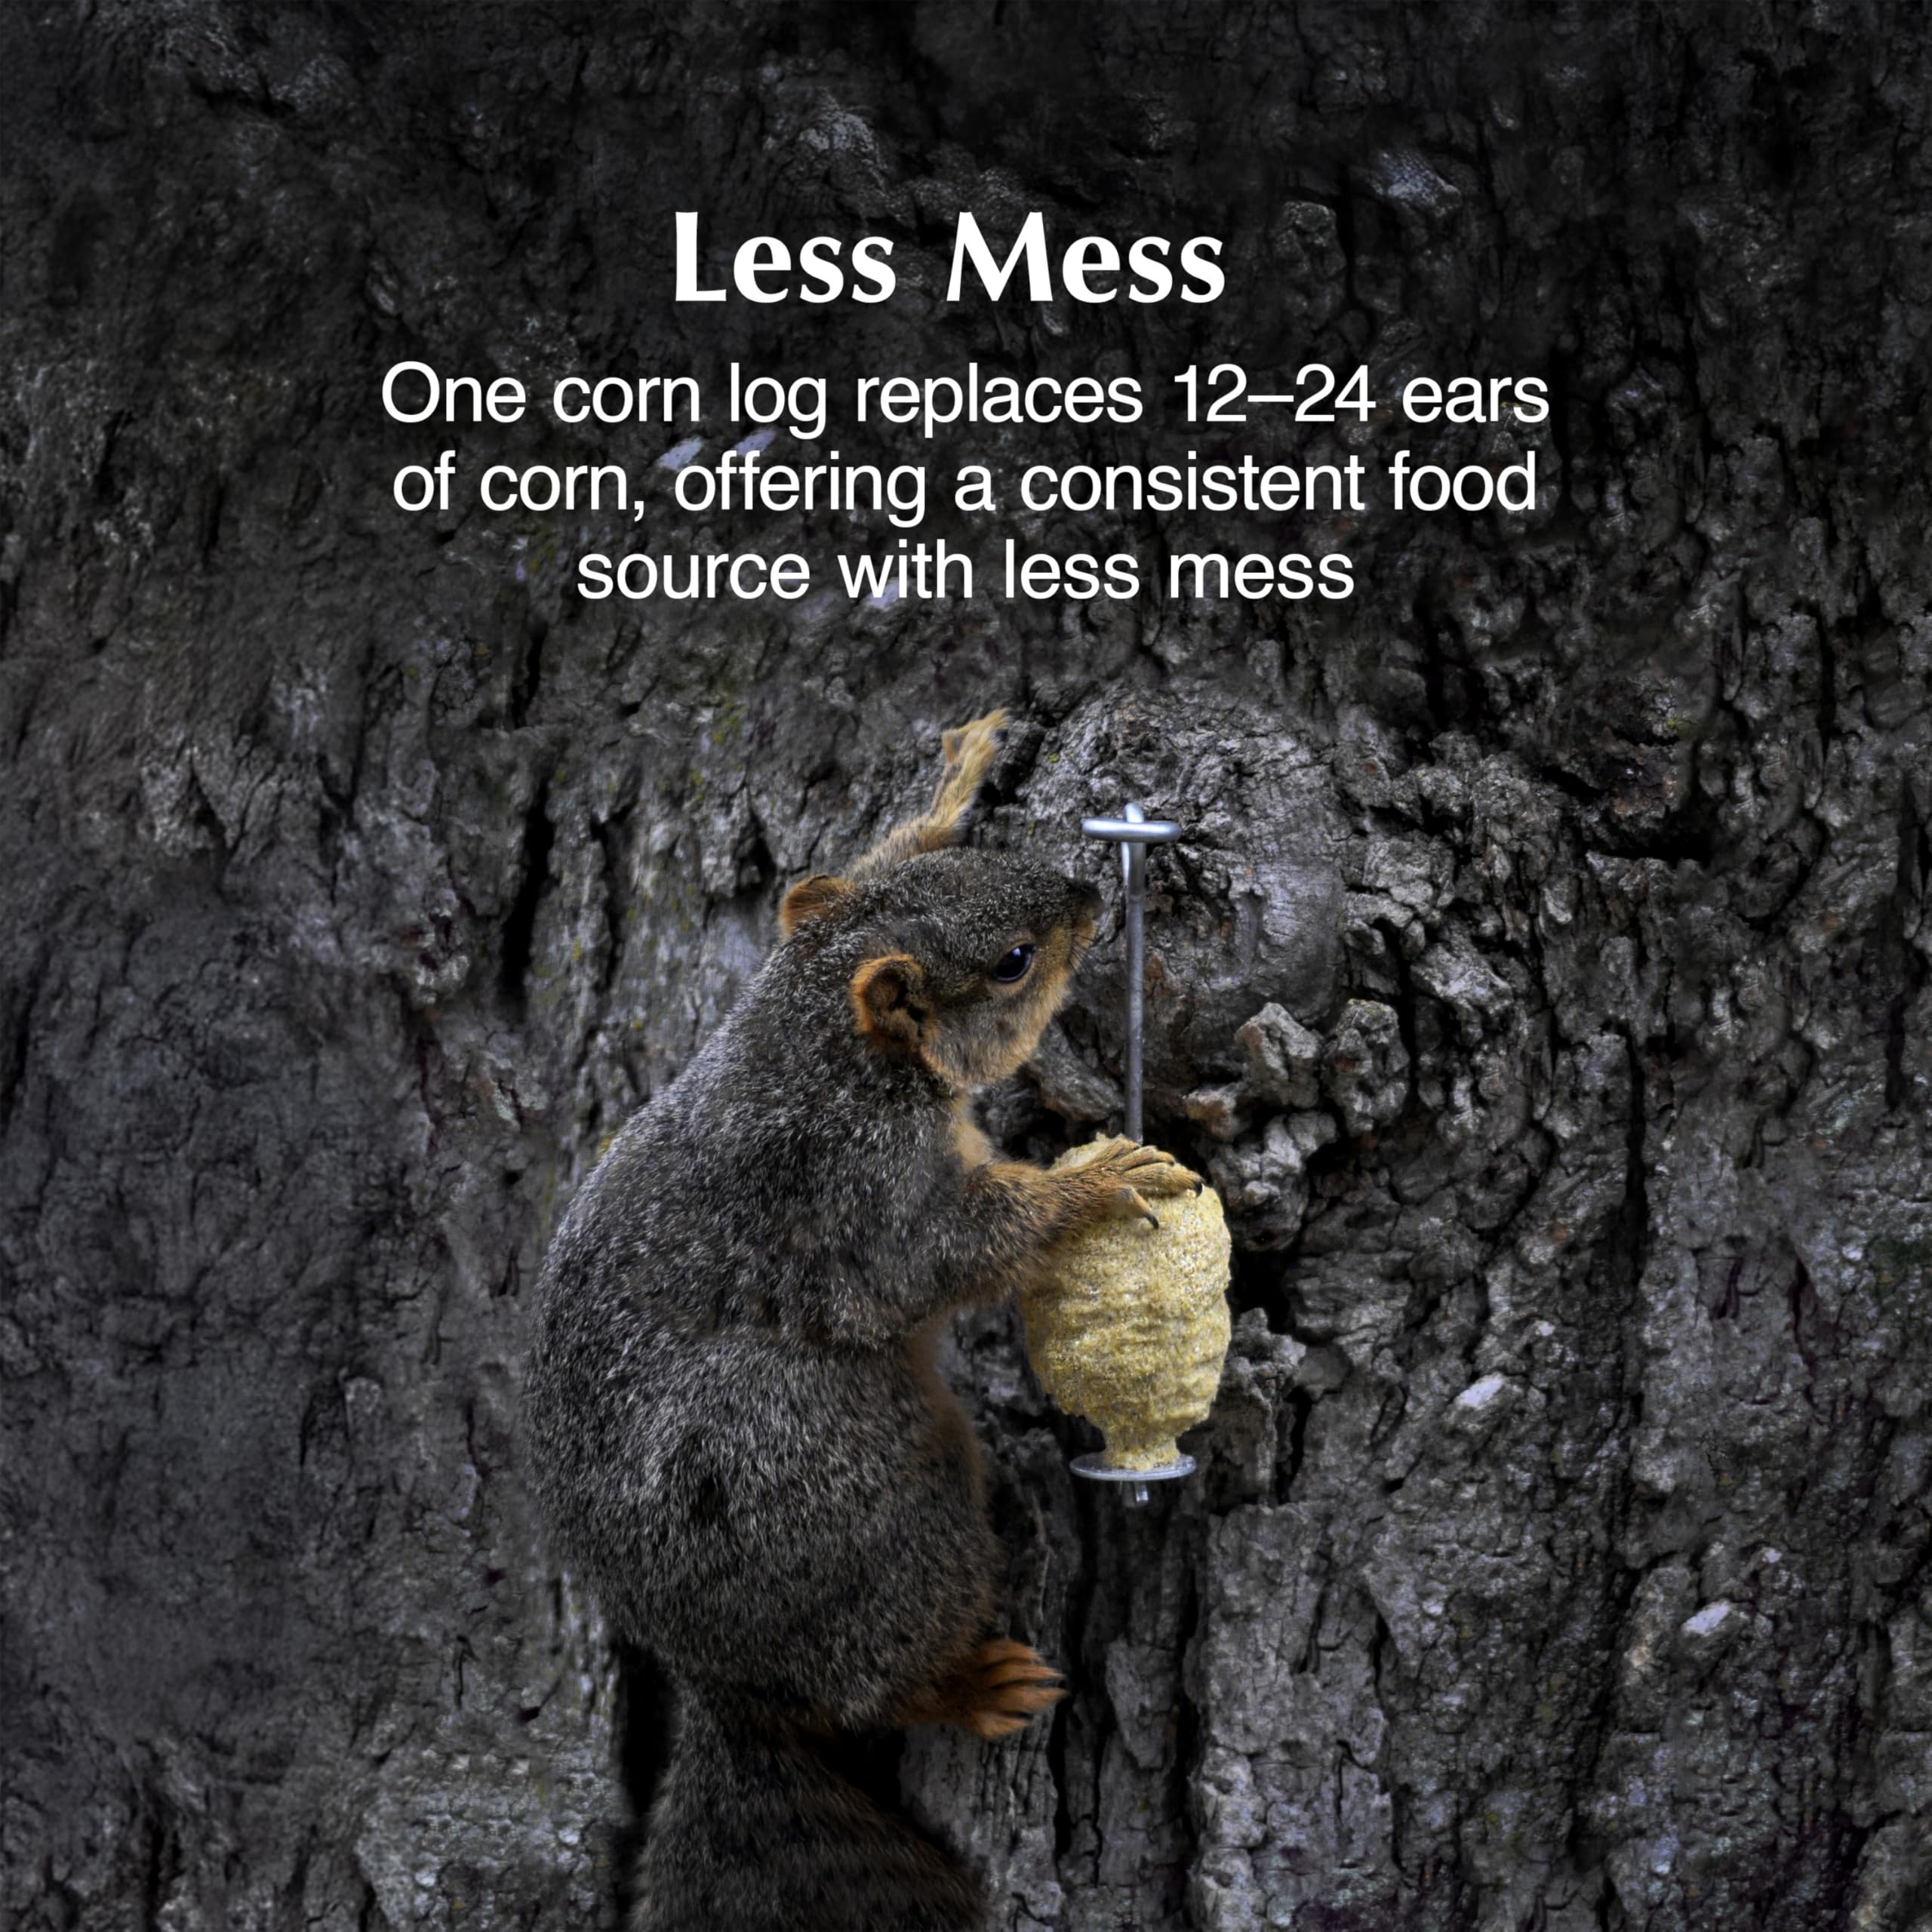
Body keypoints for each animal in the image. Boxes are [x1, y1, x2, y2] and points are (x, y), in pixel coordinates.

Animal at [525, 710, 1199, 1932]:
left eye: (971, 864)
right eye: (1012, 960)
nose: (1090, 893)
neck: (815, 1042)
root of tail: (726, 1682)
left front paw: (950, 778)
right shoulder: (855, 1197)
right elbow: (950, 1253)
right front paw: (1091, 1184)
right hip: (852, 1490)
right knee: (878, 1679)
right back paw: (971, 1681)